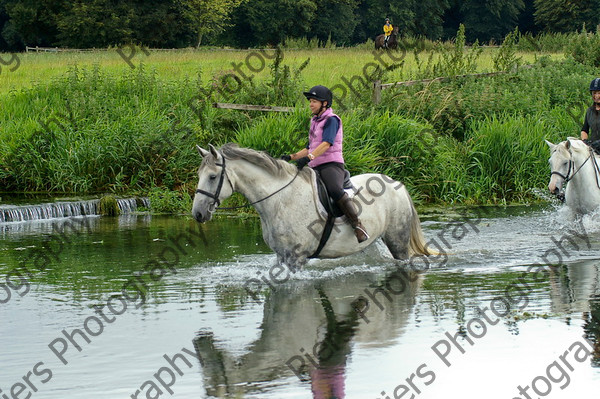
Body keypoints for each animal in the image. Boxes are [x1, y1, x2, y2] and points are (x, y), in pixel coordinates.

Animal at [192, 142, 432, 270]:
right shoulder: (281, 256)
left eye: (212, 177)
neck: (279, 199)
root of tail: (396, 183)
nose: (198, 214)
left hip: (398, 243)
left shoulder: (296, 259)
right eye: (199, 175)